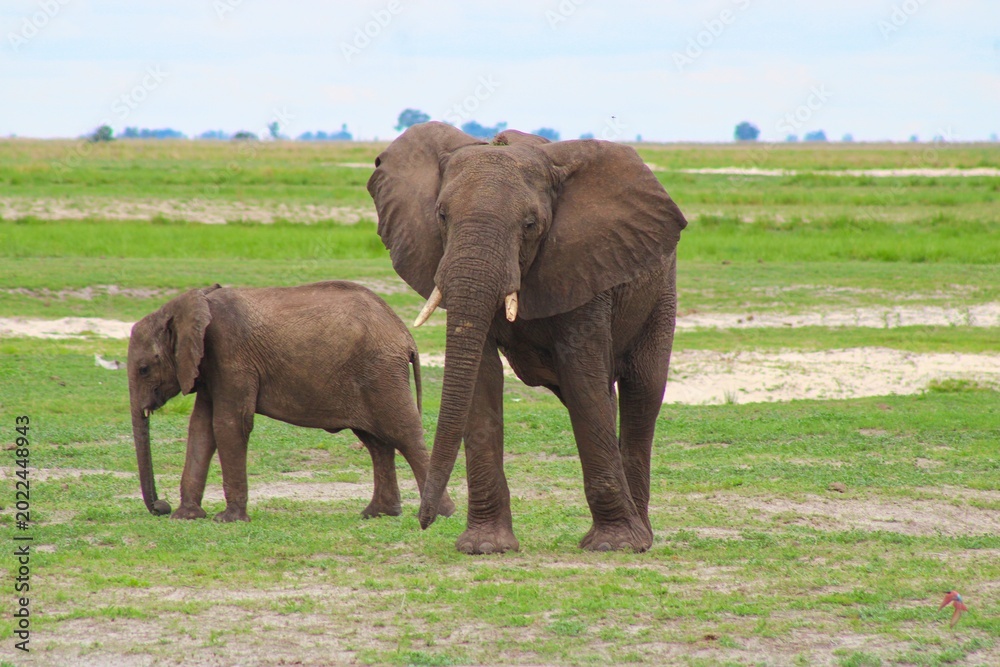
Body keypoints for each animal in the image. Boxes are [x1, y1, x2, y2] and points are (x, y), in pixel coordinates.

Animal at [127, 281, 455, 522]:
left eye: (144, 369)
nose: (161, 506)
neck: (192, 304)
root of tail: (406, 336)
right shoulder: (207, 366)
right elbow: (201, 429)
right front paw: (186, 517)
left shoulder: (229, 353)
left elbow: (229, 425)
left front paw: (228, 520)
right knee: (377, 442)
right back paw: (377, 514)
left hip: (381, 372)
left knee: (404, 434)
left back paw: (441, 514)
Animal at [367, 122, 687, 554]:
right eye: (442, 216)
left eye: (530, 224)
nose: (424, 521)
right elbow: (481, 380)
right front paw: (484, 546)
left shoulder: (584, 263)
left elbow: (583, 379)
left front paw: (615, 545)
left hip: (660, 290)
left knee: (642, 391)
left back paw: (642, 536)